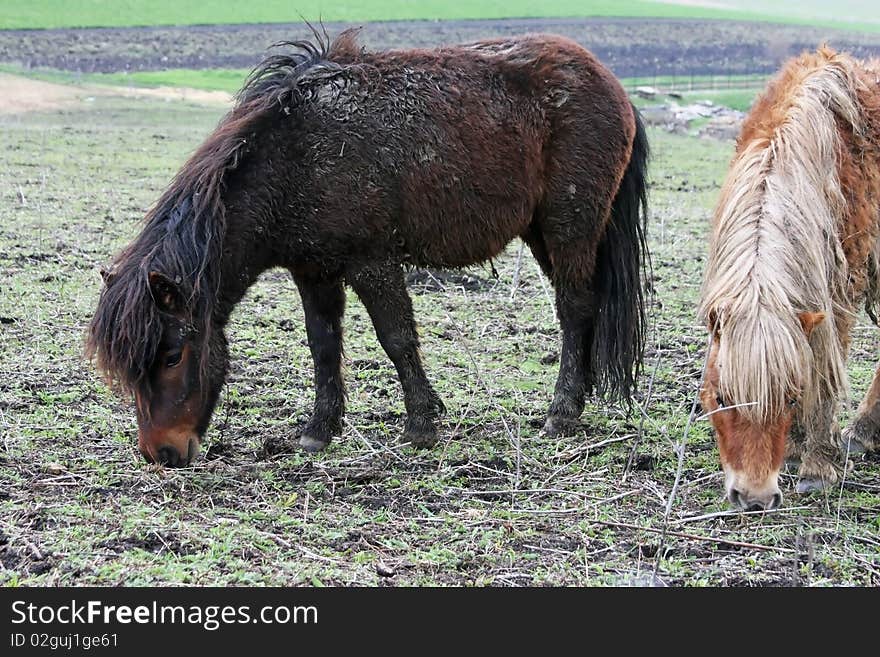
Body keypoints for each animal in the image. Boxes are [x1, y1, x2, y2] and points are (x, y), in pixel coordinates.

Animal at [86, 28, 648, 464]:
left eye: (172, 356)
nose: (161, 453)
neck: (296, 159)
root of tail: (615, 87)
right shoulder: (313, 270)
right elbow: (322, 345)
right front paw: (319, 430)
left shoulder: (372, 262)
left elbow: (396, 338)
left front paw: (421, 425)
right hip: (542, 234)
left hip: (569, 227)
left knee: (574, 309)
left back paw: (561, 414)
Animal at [700, 46, 880, 510]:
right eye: (722, 398)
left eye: (791, 397)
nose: (755, 497)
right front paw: (799, 447)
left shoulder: (837, 298)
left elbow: (824, 373)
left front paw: (816, 464)